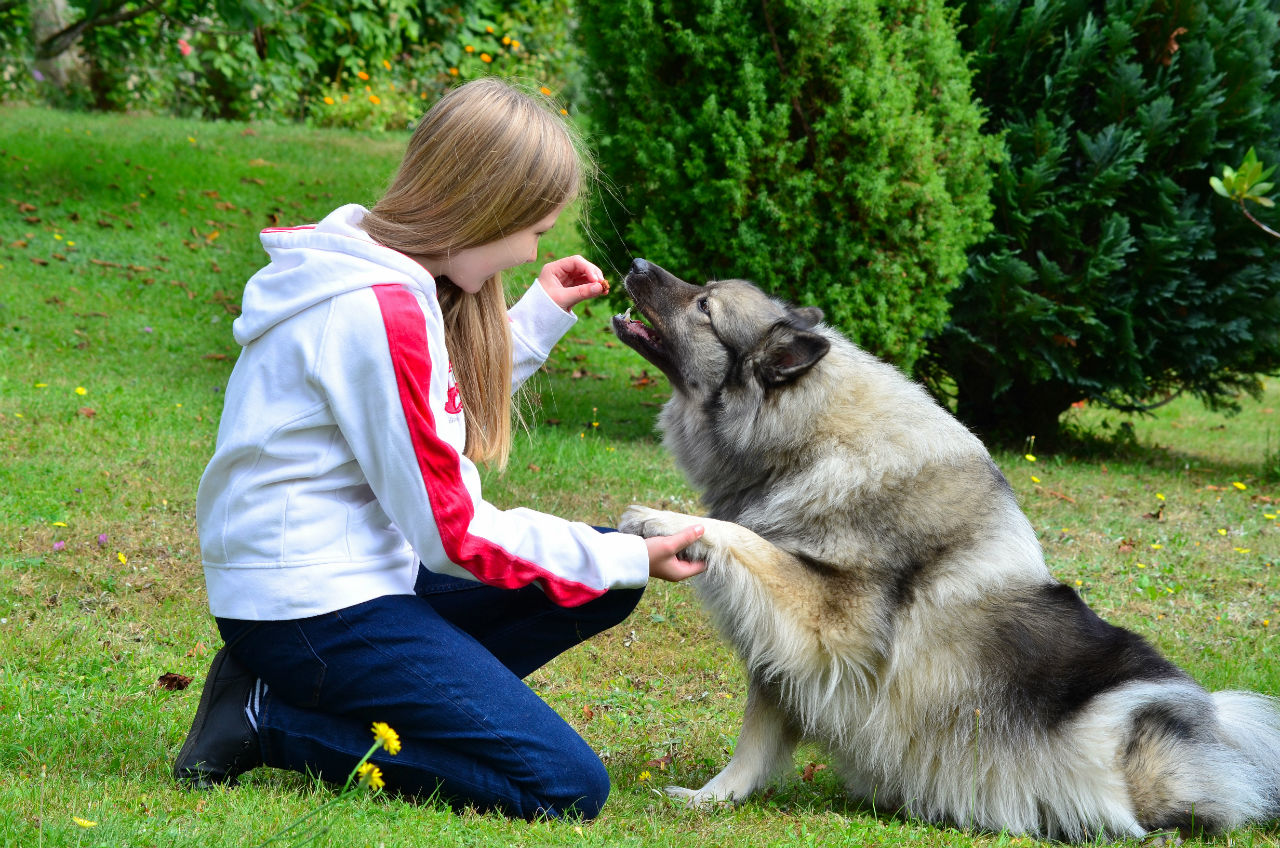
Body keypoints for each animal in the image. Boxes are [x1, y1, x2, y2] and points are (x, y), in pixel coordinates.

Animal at [609, 258, 1280, 845]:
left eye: (705, 305)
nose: (637, 264)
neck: (808, 437)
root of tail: (1221, 728)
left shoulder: (832, 619)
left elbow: (744, 537)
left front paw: (659, 518)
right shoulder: (783, 658)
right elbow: (754, 742)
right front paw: (713, 797)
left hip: (1119, 732)